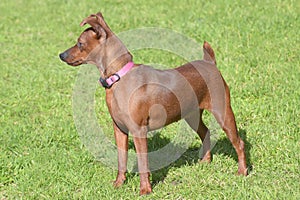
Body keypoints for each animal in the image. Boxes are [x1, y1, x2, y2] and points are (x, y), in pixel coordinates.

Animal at [59, 12, 247, 195]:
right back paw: (205, 161)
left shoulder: (138, 131)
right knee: (205, 132)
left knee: (239, 143)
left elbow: (143, 163)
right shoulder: (119, 129)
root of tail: (209, 63)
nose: (61, 55)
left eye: (80, 43)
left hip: (223, 112)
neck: (119, 77)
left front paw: (145, 190)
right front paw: (119, 184)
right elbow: (121, 159)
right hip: (192, 116)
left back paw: (242, 171)